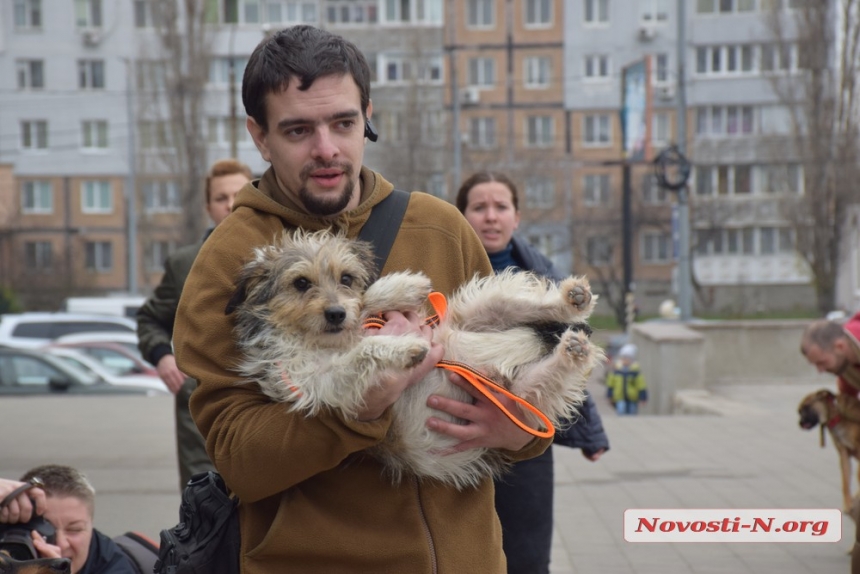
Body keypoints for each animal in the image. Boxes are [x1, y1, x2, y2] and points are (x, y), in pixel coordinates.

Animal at [230, 230, 604, 490]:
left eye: (346, 278)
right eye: (300, 283)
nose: (336, 313)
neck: (328, 340)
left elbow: (365, 303)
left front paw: (401, 287)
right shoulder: (320, 383)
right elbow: (364, 350)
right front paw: (402, 347)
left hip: (483, 312)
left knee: (526, 307)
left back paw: (572, 303)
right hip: (521, 397)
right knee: (548, 375)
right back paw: (572, 348)